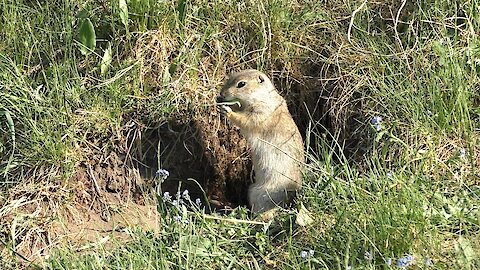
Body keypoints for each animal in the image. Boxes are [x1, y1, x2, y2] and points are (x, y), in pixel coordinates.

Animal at [217, 69, 304, 213]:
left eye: (241, 84)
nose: (221, 95)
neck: (263, 97)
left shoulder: (260, 112)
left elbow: (246, 120)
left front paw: (227, 110)